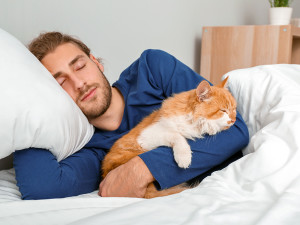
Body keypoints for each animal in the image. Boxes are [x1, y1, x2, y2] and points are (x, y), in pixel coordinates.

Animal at [101, 76, 237, 198]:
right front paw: (184, 157)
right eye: (223, 111)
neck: (192, 121)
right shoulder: (146, 136)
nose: (234, 120)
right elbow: (177, 135)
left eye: (234, 110)